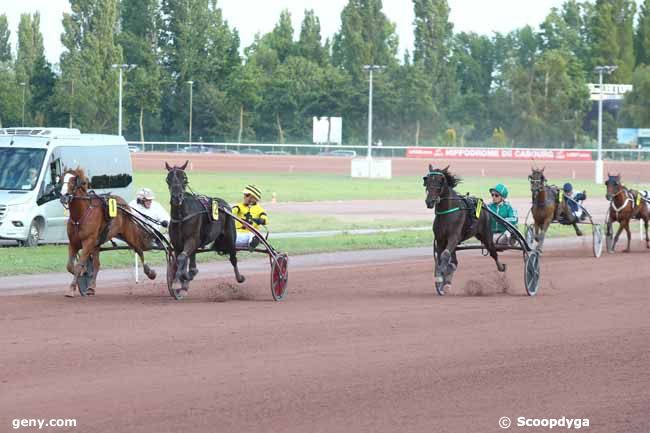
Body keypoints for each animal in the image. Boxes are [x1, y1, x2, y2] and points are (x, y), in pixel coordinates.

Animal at [60, 167, 157, 296]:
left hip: (129, 234)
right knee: (97, 265)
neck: (80, 216)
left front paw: (71, 289)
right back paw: (91, 287)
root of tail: (124, 204)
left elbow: (79, 265)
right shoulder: (73, 243)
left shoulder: (87, 242)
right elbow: (70, 266)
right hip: (96, 245)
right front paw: (84, 274)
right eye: (61, 179)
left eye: (74, 180)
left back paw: (150, 272)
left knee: (139, 249)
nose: (63, 196)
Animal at [165, 160, 243, 296]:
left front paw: (181, 279)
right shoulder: (177, 244)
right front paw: (181, 280)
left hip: (230, 237)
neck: (181, 216)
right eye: (168, 179)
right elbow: (180, 260)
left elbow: (182, 258)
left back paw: (239, 277)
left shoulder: (192, 239)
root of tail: (225, 205)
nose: (176, 197)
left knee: (233, 258)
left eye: (184, 179)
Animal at [420, 165, 506, 294]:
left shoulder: (454, 237)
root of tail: (484, 207)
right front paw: (441, 278)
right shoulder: (440, 240)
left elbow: (445, 255)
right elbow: (441, 258)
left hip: (486, 236)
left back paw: (501, 267)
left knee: (493, 252)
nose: (429, 201)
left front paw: (442, 275)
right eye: (427, 181)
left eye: (440, 181)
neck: (447, 212)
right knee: (455, 261)